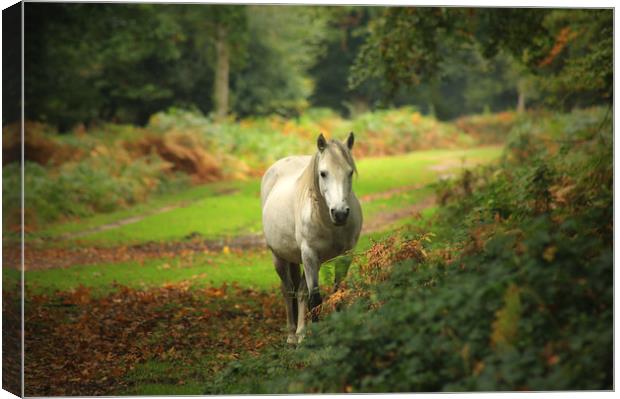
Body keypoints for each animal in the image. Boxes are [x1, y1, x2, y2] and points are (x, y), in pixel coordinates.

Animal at [260, 134, 360, 344]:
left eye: (349, 172)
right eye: (323, 173)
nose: (340, 213)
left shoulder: (344, 256)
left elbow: (337, 292)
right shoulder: (310, 256)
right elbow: (315, 298)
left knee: (300, 291)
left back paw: (301, 333)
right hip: (281, 258)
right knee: (288, 290)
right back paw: (292, 335)